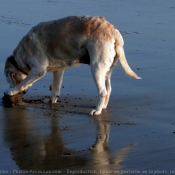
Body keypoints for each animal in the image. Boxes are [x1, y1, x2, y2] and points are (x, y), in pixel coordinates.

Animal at [4, 16, 141, 115]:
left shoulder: (38, 70)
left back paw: (97, 111)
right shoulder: (59, 70)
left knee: (103, 92)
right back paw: (102, 107)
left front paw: (12, 91)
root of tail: (114, 32)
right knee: (109, 89)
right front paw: (51, 100)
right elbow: (55, 88)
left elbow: (23, 82)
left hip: (96, 67)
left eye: (10, 80)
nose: (24, 93)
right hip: (106, 70)